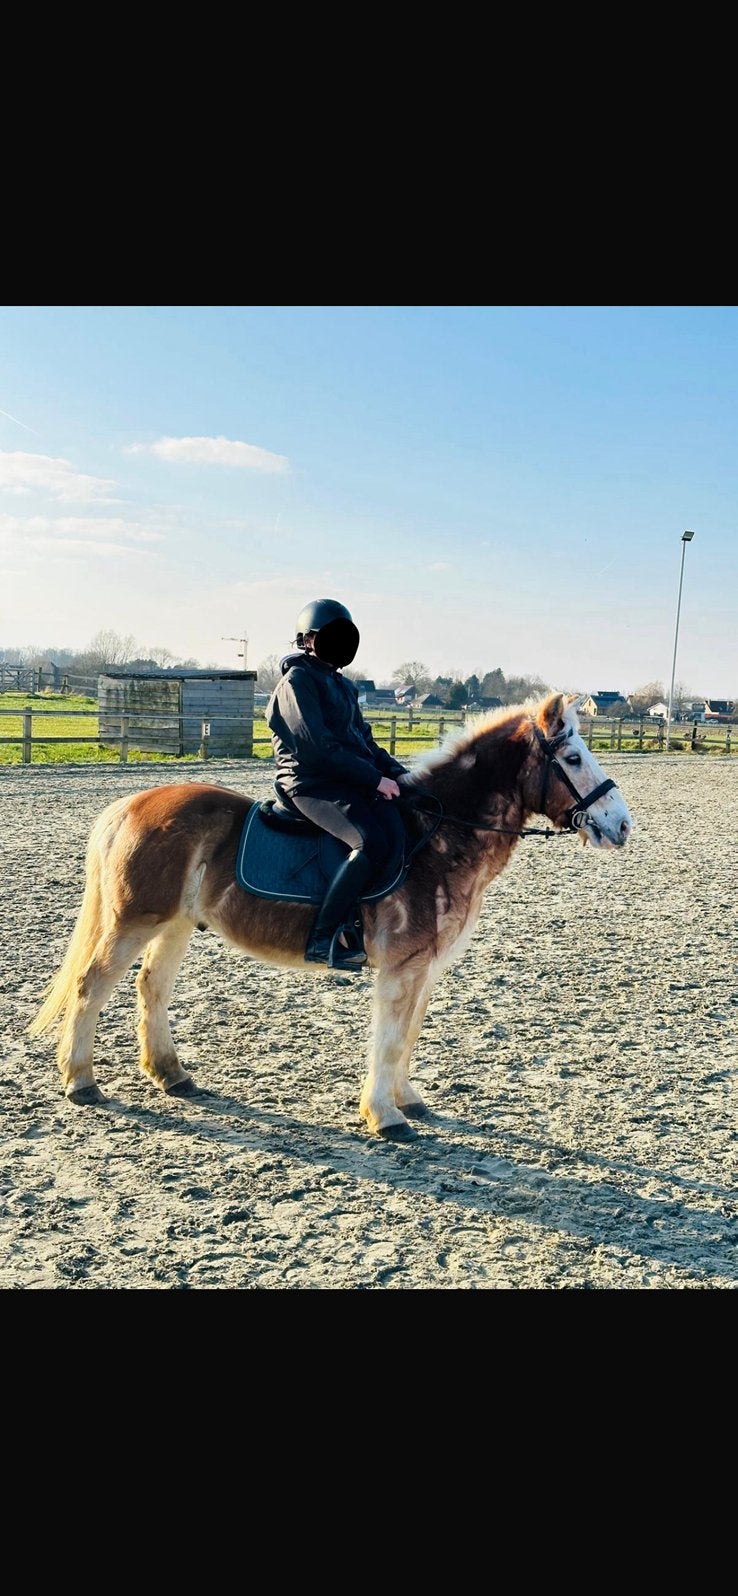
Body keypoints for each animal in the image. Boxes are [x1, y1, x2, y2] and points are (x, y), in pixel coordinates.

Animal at [28, 691, 632, 1140]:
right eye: (572, 759)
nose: (622, 825)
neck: (436, 836)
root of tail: (129, 805)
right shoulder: (401, 969)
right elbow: (389, 1038)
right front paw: (385, 1117)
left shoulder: (426, 969)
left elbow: (409, 1035)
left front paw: (408, 1101)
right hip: (133, 921)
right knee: (91, 986)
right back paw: (81, 1082)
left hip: (175, 924)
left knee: (151, 987)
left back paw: (172, 1075)